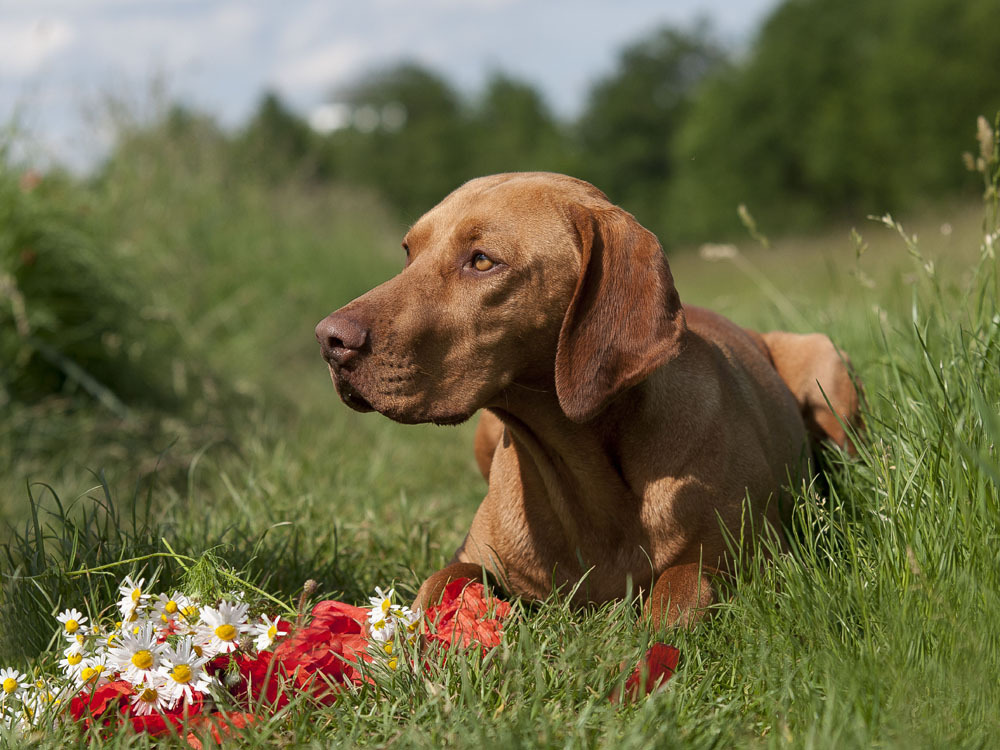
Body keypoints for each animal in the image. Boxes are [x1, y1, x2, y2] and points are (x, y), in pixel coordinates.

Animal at [314, 173, 860, 624]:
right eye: (409, 252)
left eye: (483, 260)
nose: (329, 340)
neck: (583, 476)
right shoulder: (472, 557)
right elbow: (435, 586)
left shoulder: (758, 558)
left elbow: (681, 588)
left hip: (827, 367)